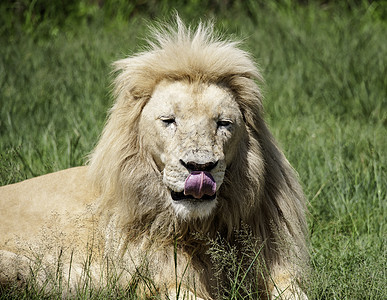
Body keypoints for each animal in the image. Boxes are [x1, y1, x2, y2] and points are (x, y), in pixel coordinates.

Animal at [0, 19, 310, 300]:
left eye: (223, 123)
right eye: (169, 120)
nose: (200, 168)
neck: (202, 227)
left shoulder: (276, 268)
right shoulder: (161, 280)